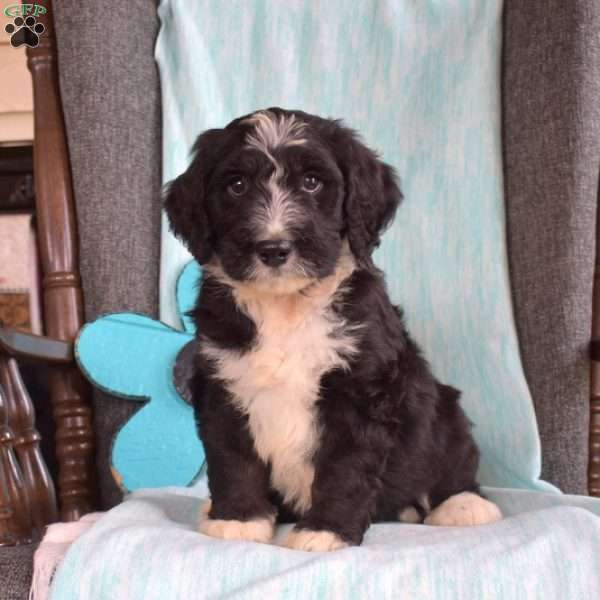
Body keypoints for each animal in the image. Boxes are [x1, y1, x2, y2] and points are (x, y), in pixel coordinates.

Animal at [164, 105, 502, 552]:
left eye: (312, 182)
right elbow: (233, 458)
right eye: (236, 186)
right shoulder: (224, 385)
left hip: (446, 412)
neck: (285, 307)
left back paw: (462, 505)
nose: (274, 249)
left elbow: (345, 469)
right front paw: (238, 519)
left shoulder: (360, 393)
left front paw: (325, 530)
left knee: (454, 460)